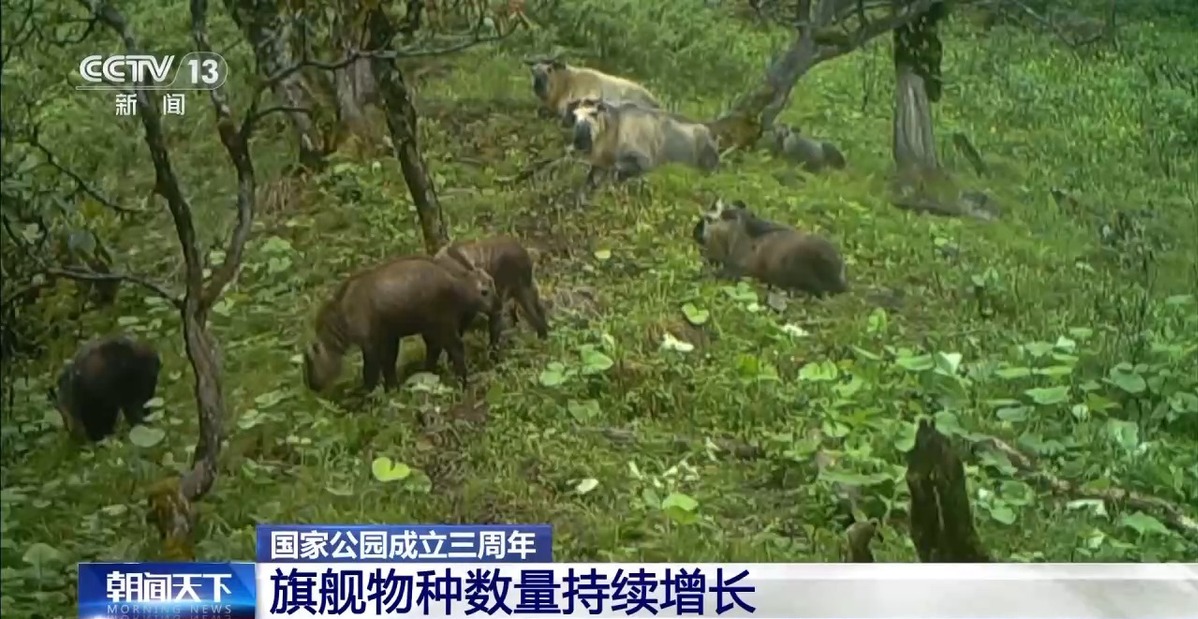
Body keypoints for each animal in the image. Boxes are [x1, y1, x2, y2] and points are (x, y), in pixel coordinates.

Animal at [309, 250, 500, 390]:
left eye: (310, 359)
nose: (311, 385)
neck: (341, 315)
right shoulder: (389, 336)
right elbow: (388, 363)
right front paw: (392, 387)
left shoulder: (369, 341)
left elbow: (371, 370)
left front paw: (369, 394)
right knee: (436, 349)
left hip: (441, 324)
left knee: (455, 348)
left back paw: (461, 380)